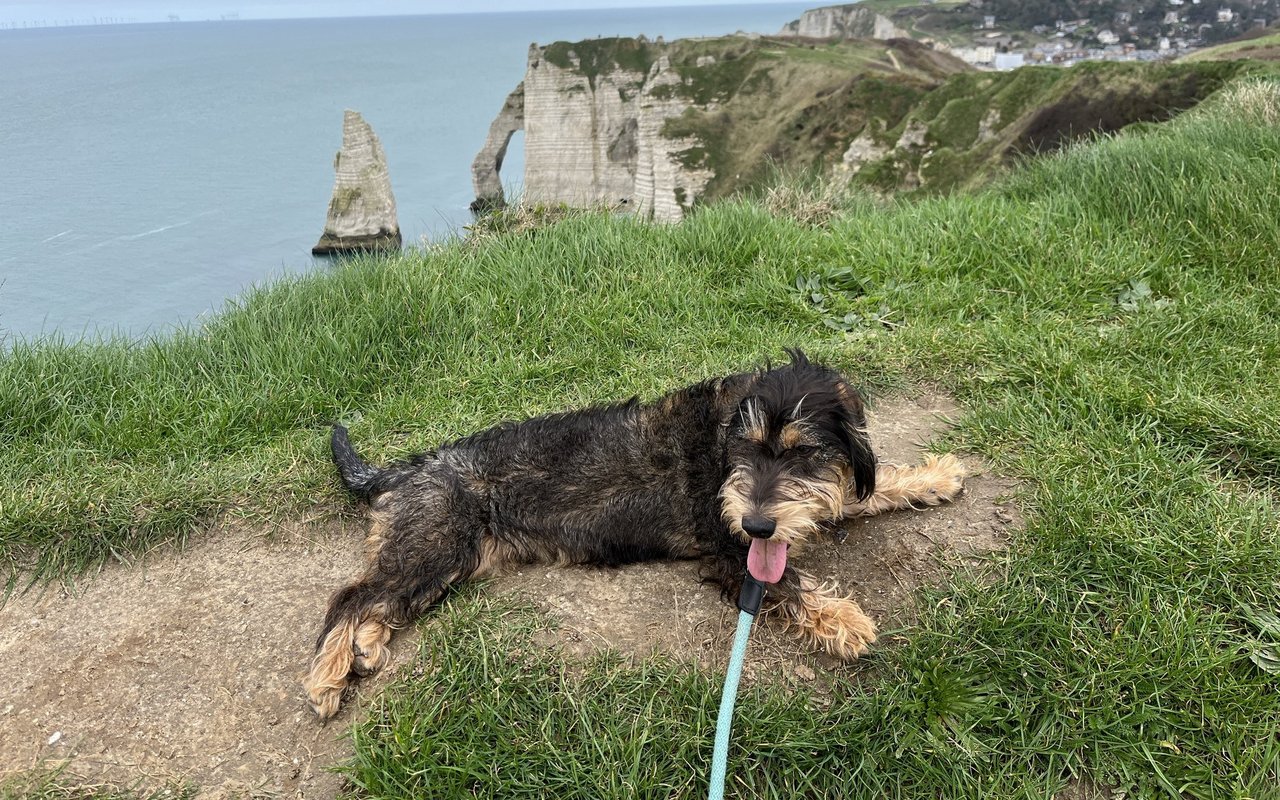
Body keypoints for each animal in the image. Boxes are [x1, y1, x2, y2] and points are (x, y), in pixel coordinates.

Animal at [302, 348, 962, 716]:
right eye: (747, 450)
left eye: (803, 453)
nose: (756, 522)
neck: (719, 438)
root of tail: (412, 465)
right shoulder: (732, 555)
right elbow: (792, 584)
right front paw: (846, 622)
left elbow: (861, 491)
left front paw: (934, 476)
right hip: (433, 544)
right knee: (349, 598)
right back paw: (327, 678)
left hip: (446, 559)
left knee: (381, 601)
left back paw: (365, 647)